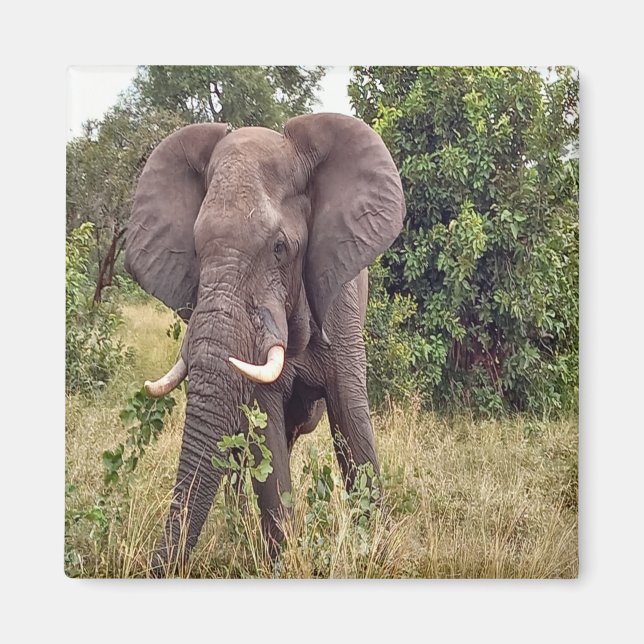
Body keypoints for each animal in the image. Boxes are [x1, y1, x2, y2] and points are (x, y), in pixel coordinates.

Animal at [124, 112, 406, 575]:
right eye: (195, 251)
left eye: (279, 248)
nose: (150, 568)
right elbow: (265, 441)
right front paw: (282, 564)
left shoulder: (342, 305)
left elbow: (352, 423)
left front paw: (375, 554)